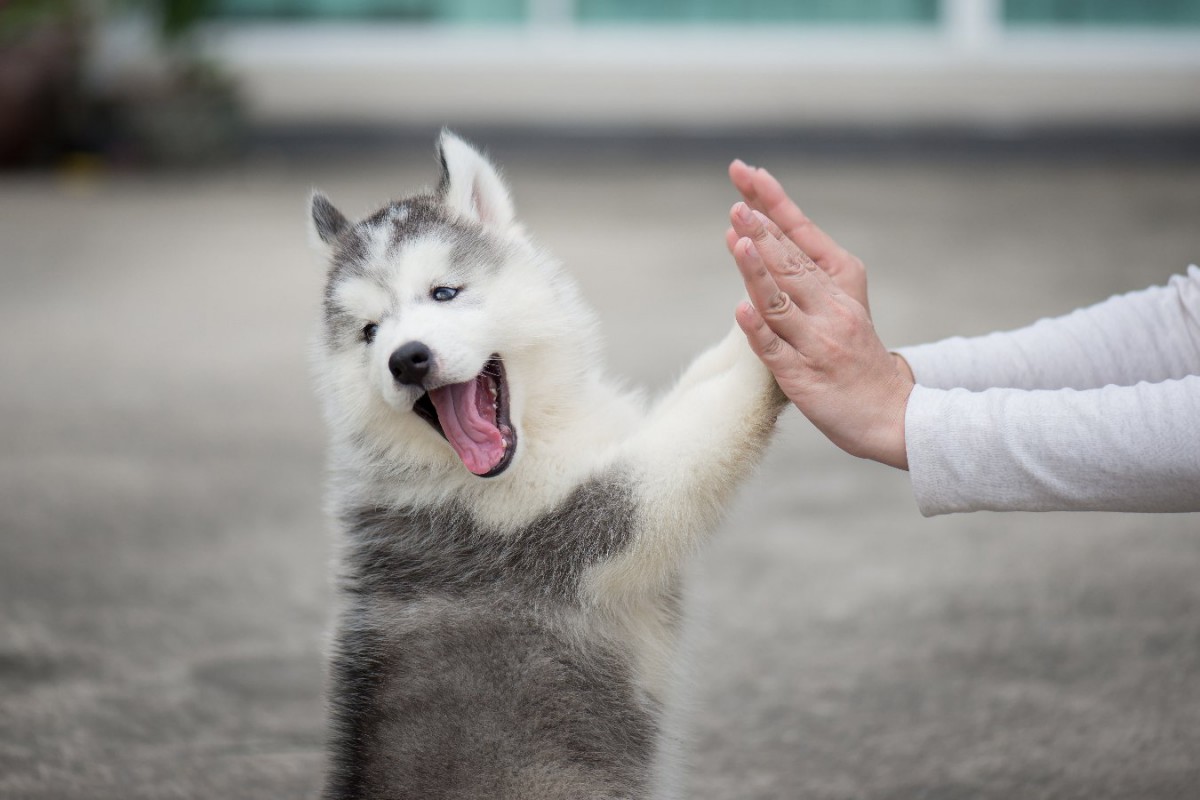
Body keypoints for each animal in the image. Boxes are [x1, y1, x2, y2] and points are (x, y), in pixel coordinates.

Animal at [309, 133, 787, 800]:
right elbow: (701, 432)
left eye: (443, 293)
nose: (406, 359)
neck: (541, 435)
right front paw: (788, 343)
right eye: (369, 332)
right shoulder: (577, 524)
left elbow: (696, 387)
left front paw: (769, 304)